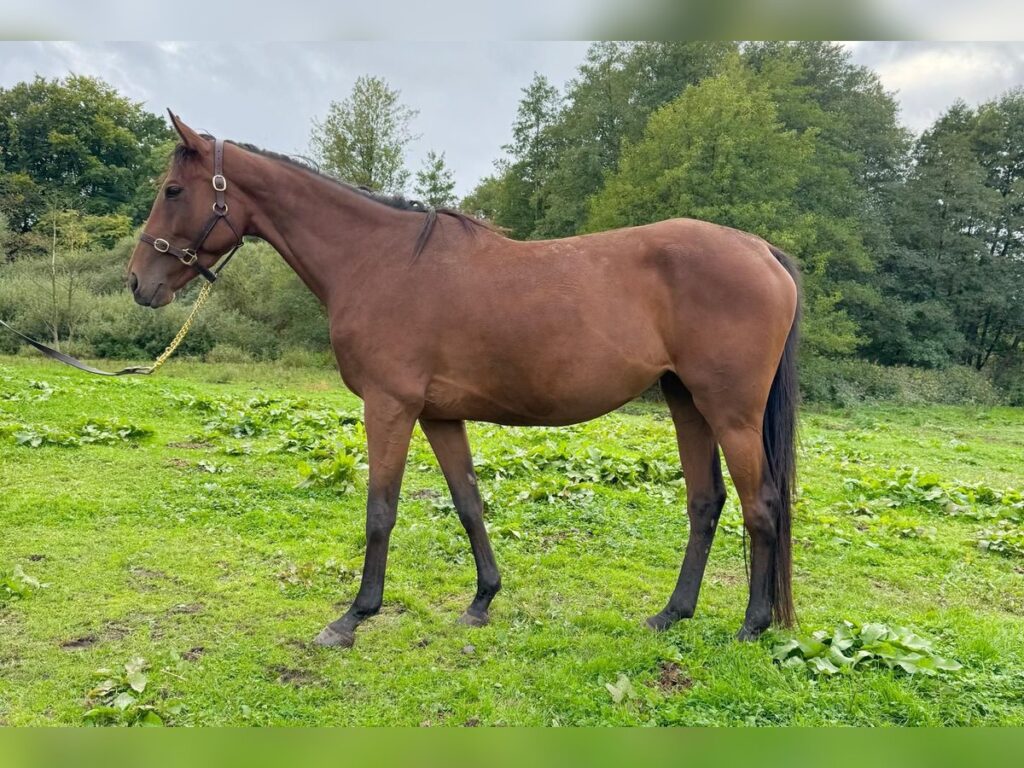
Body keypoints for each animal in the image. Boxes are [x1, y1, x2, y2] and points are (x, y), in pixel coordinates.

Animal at [127, 113, 800, 649]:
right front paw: (482, 601)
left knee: (761, 505)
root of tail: (761, 250)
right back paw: (672, 614)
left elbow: (381, 510)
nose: (138, 282)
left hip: (730, 412)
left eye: (172, 189)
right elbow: (468, 503)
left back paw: (752, 624)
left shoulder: (389, 407)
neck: (377, 260)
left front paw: (353, 617)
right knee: (706, 503)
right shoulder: (438, 414)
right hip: (686, 402)